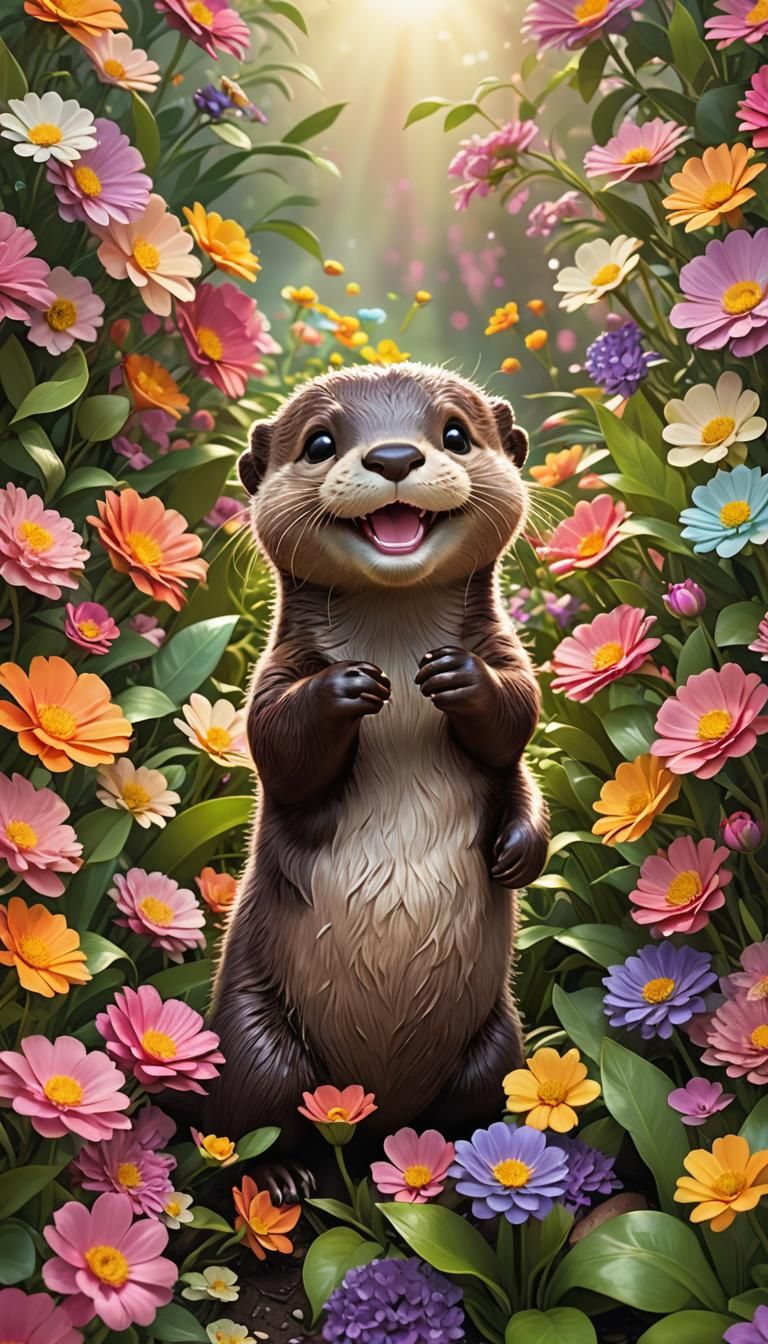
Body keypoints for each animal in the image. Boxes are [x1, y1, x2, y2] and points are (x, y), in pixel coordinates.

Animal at [206, 362, 549, 1151]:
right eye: (320, 442)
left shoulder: (513, 666)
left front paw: (517, 850)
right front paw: (347, 687)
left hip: (499, 1043)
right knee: (251, 1122)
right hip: (252, 1034)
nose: (394, 457)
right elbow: (277, 748)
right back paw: (289, 1168)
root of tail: (373, 1113)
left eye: (454, 432)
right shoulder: (272, 679)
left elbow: (518, 735)